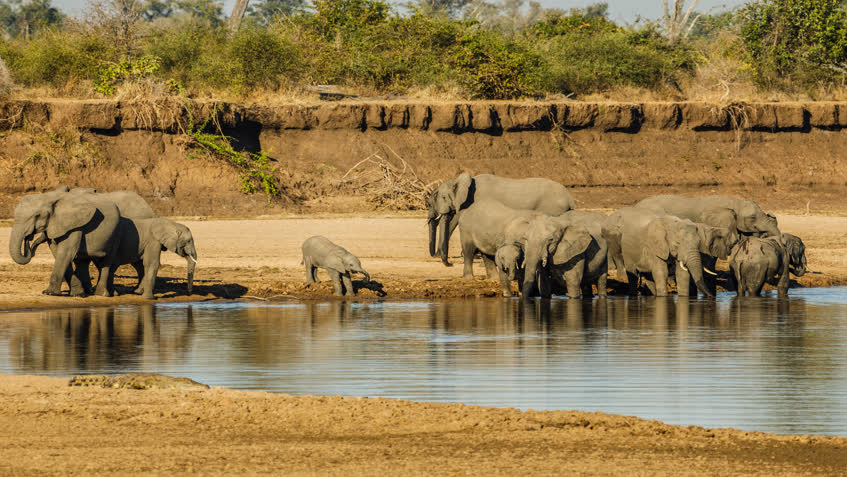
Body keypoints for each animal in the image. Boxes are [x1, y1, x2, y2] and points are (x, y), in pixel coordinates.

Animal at [608, 206, 736, 296]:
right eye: (677, 244)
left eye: (698, 243)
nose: (711, 297)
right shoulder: (656, 247)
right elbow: (661, 272)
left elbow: (682, 275)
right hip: (627, 251)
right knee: (633, 275)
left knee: (649, 278)